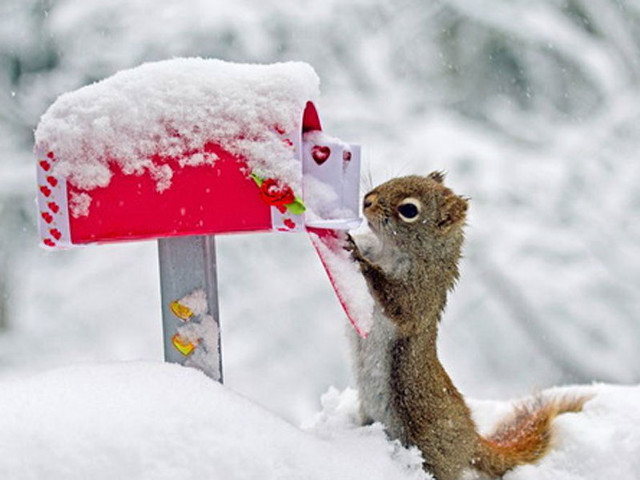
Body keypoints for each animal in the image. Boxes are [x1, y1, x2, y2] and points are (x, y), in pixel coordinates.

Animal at [346, 173, 589, 480]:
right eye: (397, 177)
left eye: (409, 210)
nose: (367, 200)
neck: (388, 250)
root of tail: (471, 440)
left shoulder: (421, 295)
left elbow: (396, 301)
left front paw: (360, 258)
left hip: (432, 445)